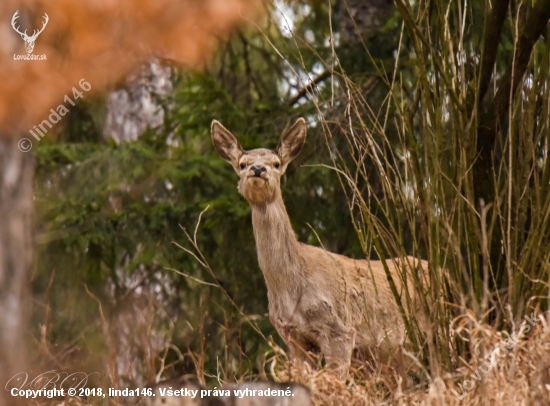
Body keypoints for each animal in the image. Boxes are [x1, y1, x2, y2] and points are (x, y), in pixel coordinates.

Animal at [211, 119, 426, 376]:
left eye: (276, 163)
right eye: (242, 164)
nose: (258, 169)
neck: (291, 287)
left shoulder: (339, 330)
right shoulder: (293, 337)